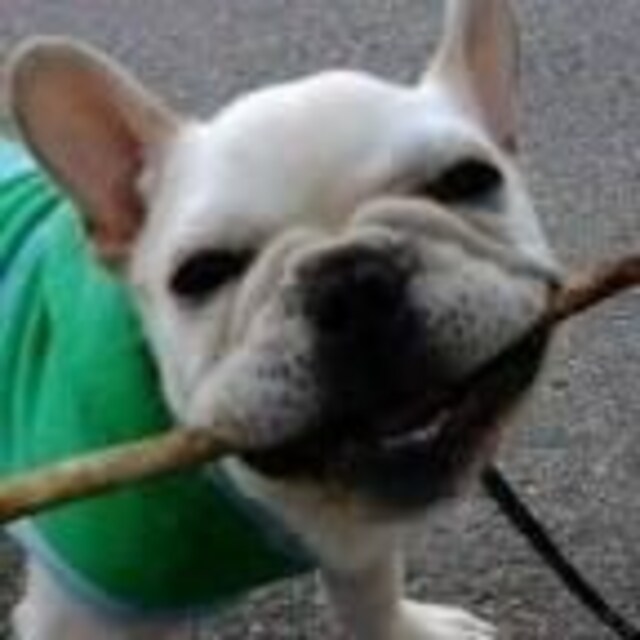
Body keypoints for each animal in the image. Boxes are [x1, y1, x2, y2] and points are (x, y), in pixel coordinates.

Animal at [1, 0, 561, 637]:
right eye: (201, 273)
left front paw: (404, 627)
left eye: (467, 179)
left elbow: (371, 595)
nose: (350, 282)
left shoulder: (361, 543)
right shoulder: (74, 615)